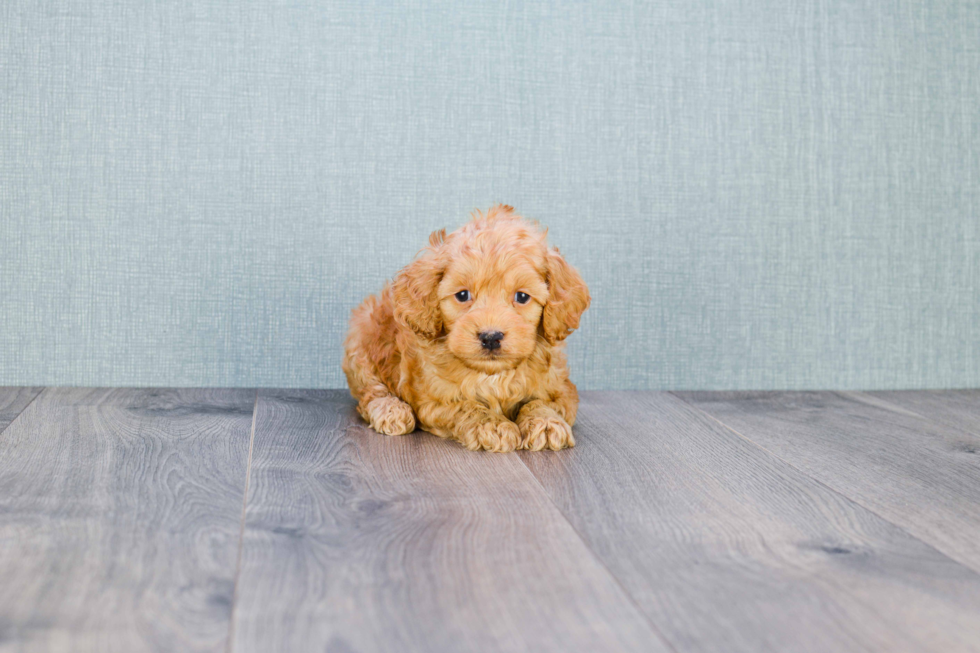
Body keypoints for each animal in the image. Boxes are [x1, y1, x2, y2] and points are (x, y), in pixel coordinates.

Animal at [342, 206, 588, 450]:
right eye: (462, 295)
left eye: (522, 297)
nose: (491, 337)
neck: (493, 375)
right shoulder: (433, 401)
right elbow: (466, 406)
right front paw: (493, 425)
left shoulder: (563, 389)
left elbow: (542, 401)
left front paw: (546, 422)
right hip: (361, 343)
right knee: (370, 391)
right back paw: (391, 410)